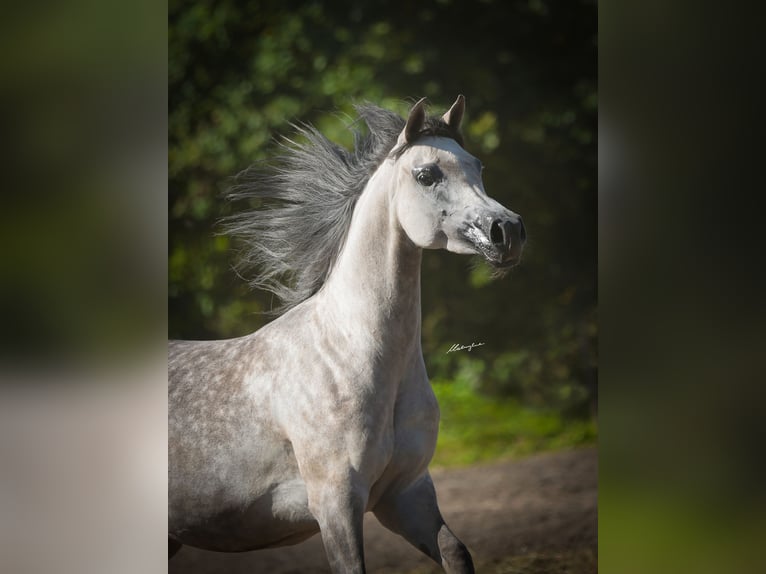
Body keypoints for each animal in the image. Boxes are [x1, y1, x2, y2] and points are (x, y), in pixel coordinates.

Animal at [168, 96, 526, 573]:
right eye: (427, 175)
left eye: (478, 166)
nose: (508, 231)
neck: (347, 354)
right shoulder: (335, 504)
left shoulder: (406, 494)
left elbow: (455, 552)